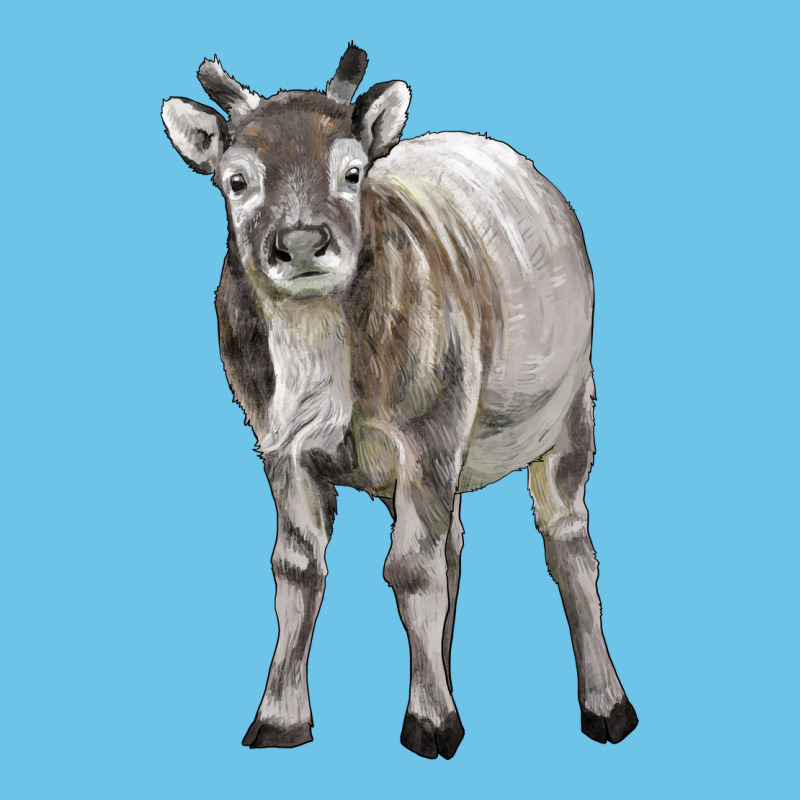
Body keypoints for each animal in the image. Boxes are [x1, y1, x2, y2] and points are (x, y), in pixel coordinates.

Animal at [161, 44, 638, 760]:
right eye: (236, 180)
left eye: (352, 171)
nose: (300, 242)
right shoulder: (280, 447)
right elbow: (297, 568)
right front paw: (280, 718)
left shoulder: (429, 433)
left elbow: (410, 570)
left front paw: (430, 720)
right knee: (454, 546)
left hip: (571, 407)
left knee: (568, 540)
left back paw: (606, 704)